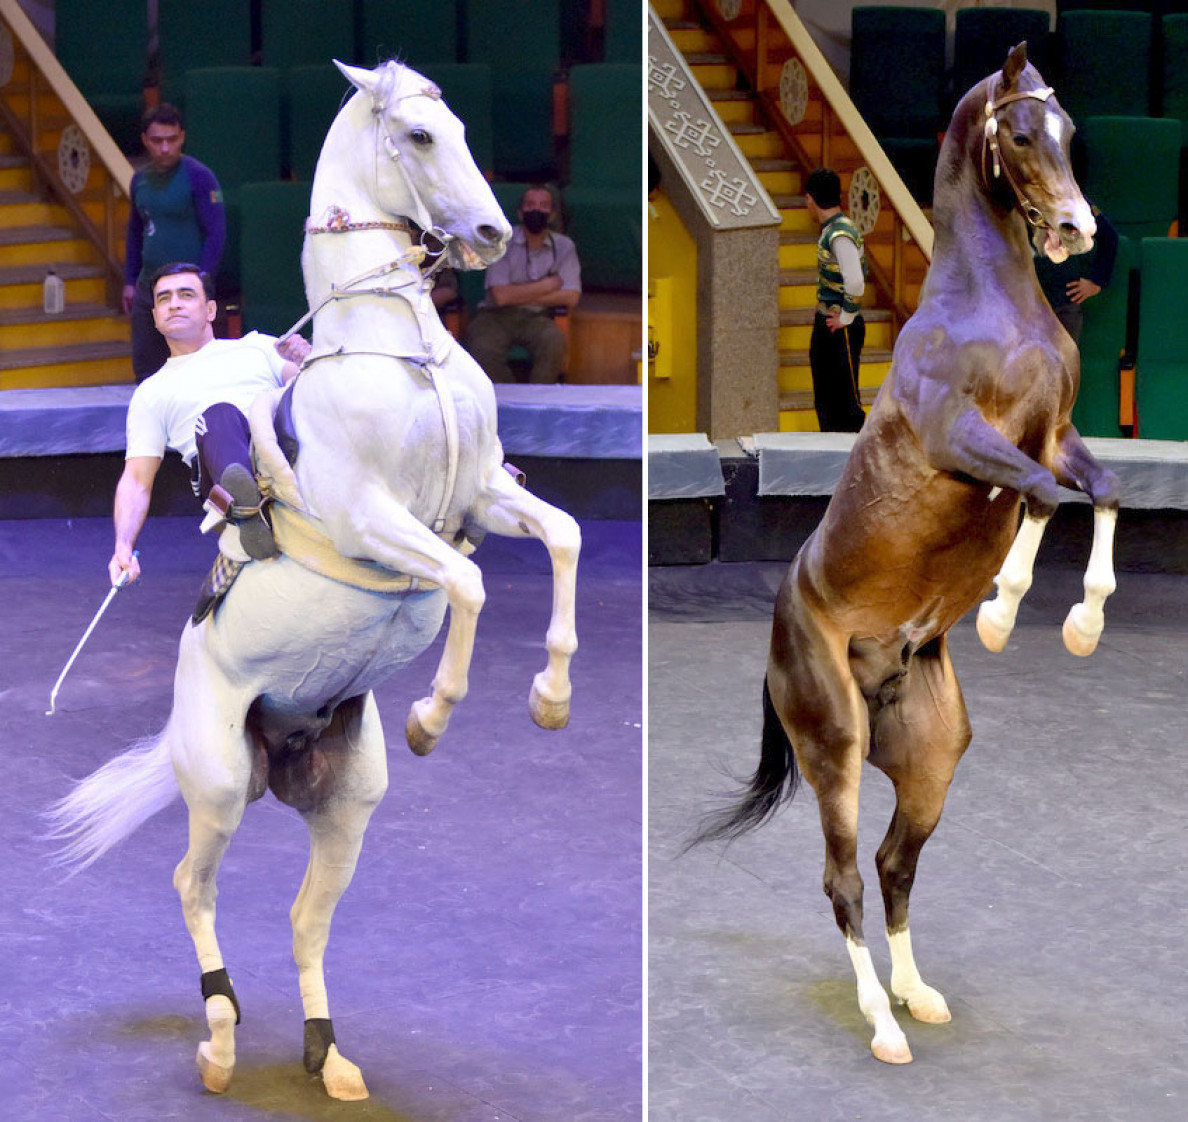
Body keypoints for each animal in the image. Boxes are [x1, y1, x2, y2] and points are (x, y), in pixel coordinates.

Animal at [47, 57, 584, 1098]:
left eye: (461, 126)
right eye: (417, 137)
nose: (495, 235)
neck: (402, 346)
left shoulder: (483, 495)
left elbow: (565, 538)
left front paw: (551, 699)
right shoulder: (378, 522)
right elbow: (469, 589)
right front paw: (433, 717)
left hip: (346, 806)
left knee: (306, 919)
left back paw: (327, 1059)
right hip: (218, 784)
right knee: (193, 886)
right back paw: (219, 1043)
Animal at [693, 46, 1116, 1060]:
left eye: (1068, 129)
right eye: (1020, 132)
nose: (1078, 229)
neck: (991, 306)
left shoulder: (1059, 436)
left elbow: (1104, 491)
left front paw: (1084, 624)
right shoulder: (966, 442)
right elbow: (1041, 501)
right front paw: (1002, 611)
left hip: (930, 761)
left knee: (893, 866)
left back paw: (915, 994)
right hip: (837, 749)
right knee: (844, 877)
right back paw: (882, 1022)